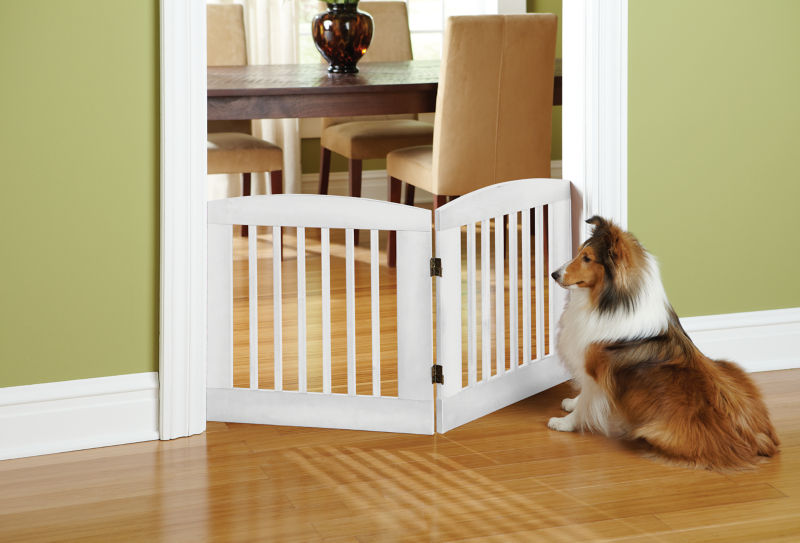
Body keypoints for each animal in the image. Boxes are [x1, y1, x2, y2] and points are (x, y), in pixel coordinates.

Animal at [548, 215, 780, 470]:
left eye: (587, 258)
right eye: (579, 252)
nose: (554, 274)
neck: (608, 302)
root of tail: (757, 438)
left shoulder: (594, 372)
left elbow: (585, 404)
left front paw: (564, 423)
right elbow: (582, 398)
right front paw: (571, 403)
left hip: (657, 431)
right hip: (728, 365)